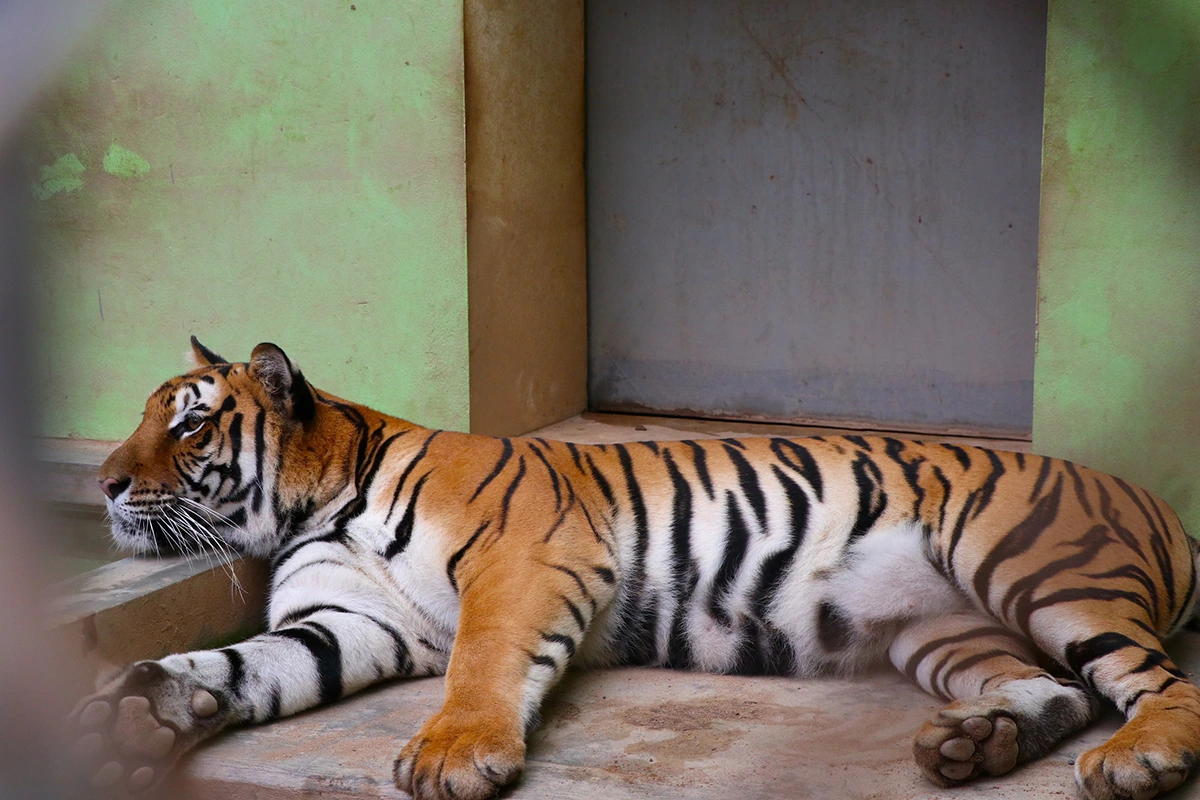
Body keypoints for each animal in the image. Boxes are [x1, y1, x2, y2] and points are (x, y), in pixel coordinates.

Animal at [67, 337, 1200, 800]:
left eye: (192, 422)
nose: (104, 482)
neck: (320, 504)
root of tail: (1160, 502)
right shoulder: (354, 621)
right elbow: (245, 664)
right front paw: (140, 711)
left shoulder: (523, 561)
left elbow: (481, 663)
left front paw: (453, 755)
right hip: (943, 630)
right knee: (1056, 687)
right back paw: (977, 744)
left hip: (1027, 565)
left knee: (1157, 683)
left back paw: (1136, 761)